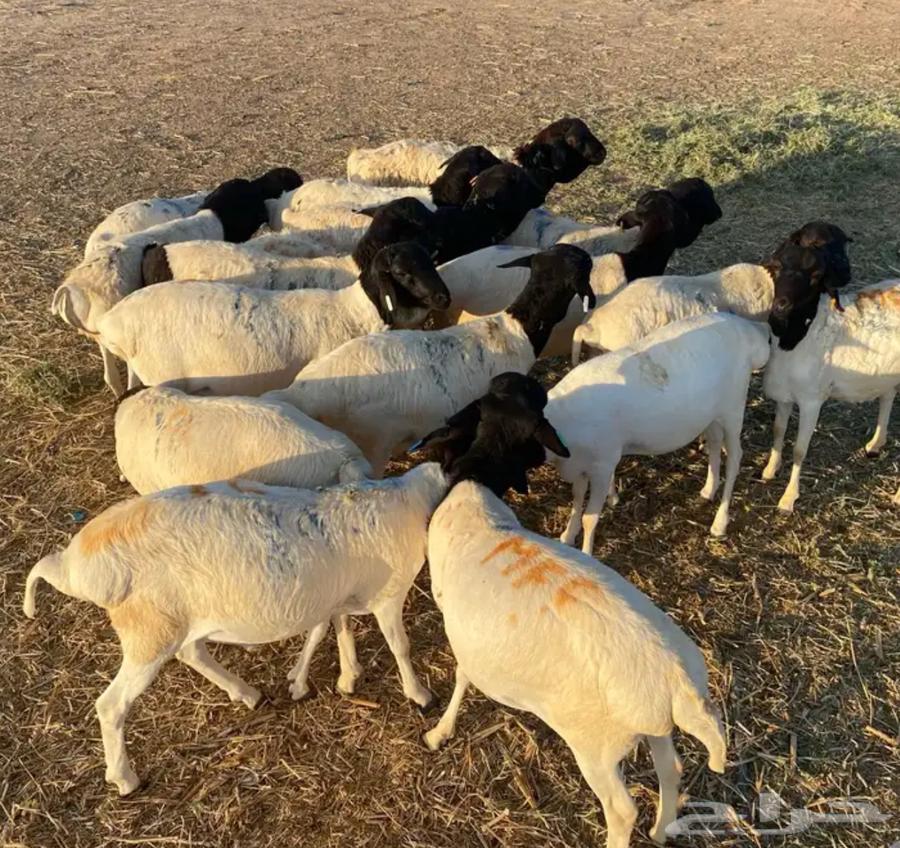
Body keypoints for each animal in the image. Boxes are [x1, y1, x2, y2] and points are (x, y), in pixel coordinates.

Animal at [95, 241, 451, 397]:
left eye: (430, 260)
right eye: (402, 272)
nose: (444, 298)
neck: (355, 313)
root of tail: (113, 321)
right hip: (164, 377)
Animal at [416, 383, 726, 848]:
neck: (477, 485)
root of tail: (676, 683)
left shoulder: (457, 626)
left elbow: (462, 676)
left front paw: (439, 731)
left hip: (596, 746)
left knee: (622, 810)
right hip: (655, 726)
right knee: (672, 770)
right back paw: (661, 829)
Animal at [547, 312, 770, 552]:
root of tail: (748, 330)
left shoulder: (603, 464)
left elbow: (590, 517)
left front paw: (587, 552)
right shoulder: (579, 464)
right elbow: (577, 499)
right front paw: (568, 535)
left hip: (733, 407)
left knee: (735, 457)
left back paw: (720, 522)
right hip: (711, 414)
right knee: (714, 443)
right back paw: (709, 490)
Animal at [761, 249, 899, 512]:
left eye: (816, 277)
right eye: (776, 268)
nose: (781, 305)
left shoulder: (812, 400)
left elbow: (799, 450)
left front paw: (788, 498)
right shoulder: (785, 395)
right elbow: (777, 430)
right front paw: (770, 469)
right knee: (888, 395)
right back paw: (875, 444)